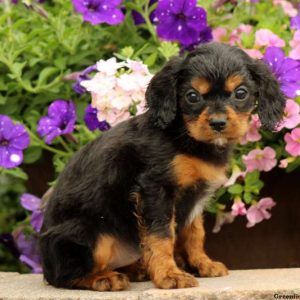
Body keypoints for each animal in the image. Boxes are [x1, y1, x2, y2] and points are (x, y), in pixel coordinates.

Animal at [39, 42, 286, 290]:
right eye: (192, 96)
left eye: (241, 93)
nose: (218, 123)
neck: (184, 137)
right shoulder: (155, 189)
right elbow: (161, 236)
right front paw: (170, 275)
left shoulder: (193, 199)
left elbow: (194, 233)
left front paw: (201, 264)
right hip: (90, 232)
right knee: (63, 276)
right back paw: (103, 278)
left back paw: (136, 270)